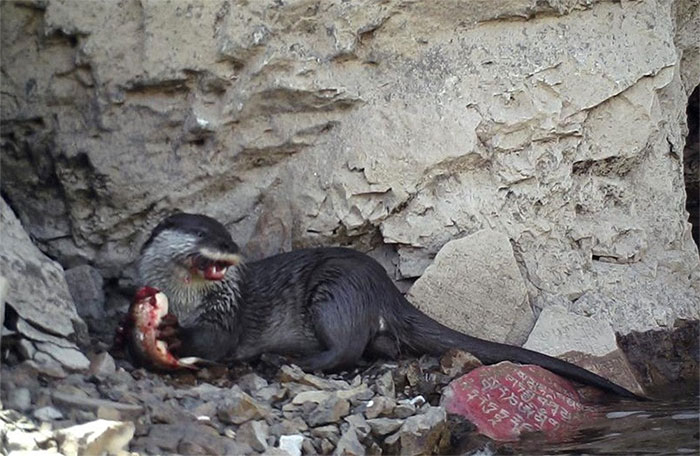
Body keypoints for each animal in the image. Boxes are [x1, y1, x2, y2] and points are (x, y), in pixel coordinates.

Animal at [137, 212, 644, 400]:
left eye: (226, 235)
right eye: (202, 234)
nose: (231, 247)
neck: (184, 299)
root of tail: (383, 286)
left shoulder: (226, 311)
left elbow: (215, 341)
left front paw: (174, 334)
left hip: (335, 291)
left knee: (344, 349)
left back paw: (284, 359)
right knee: (376, 347)